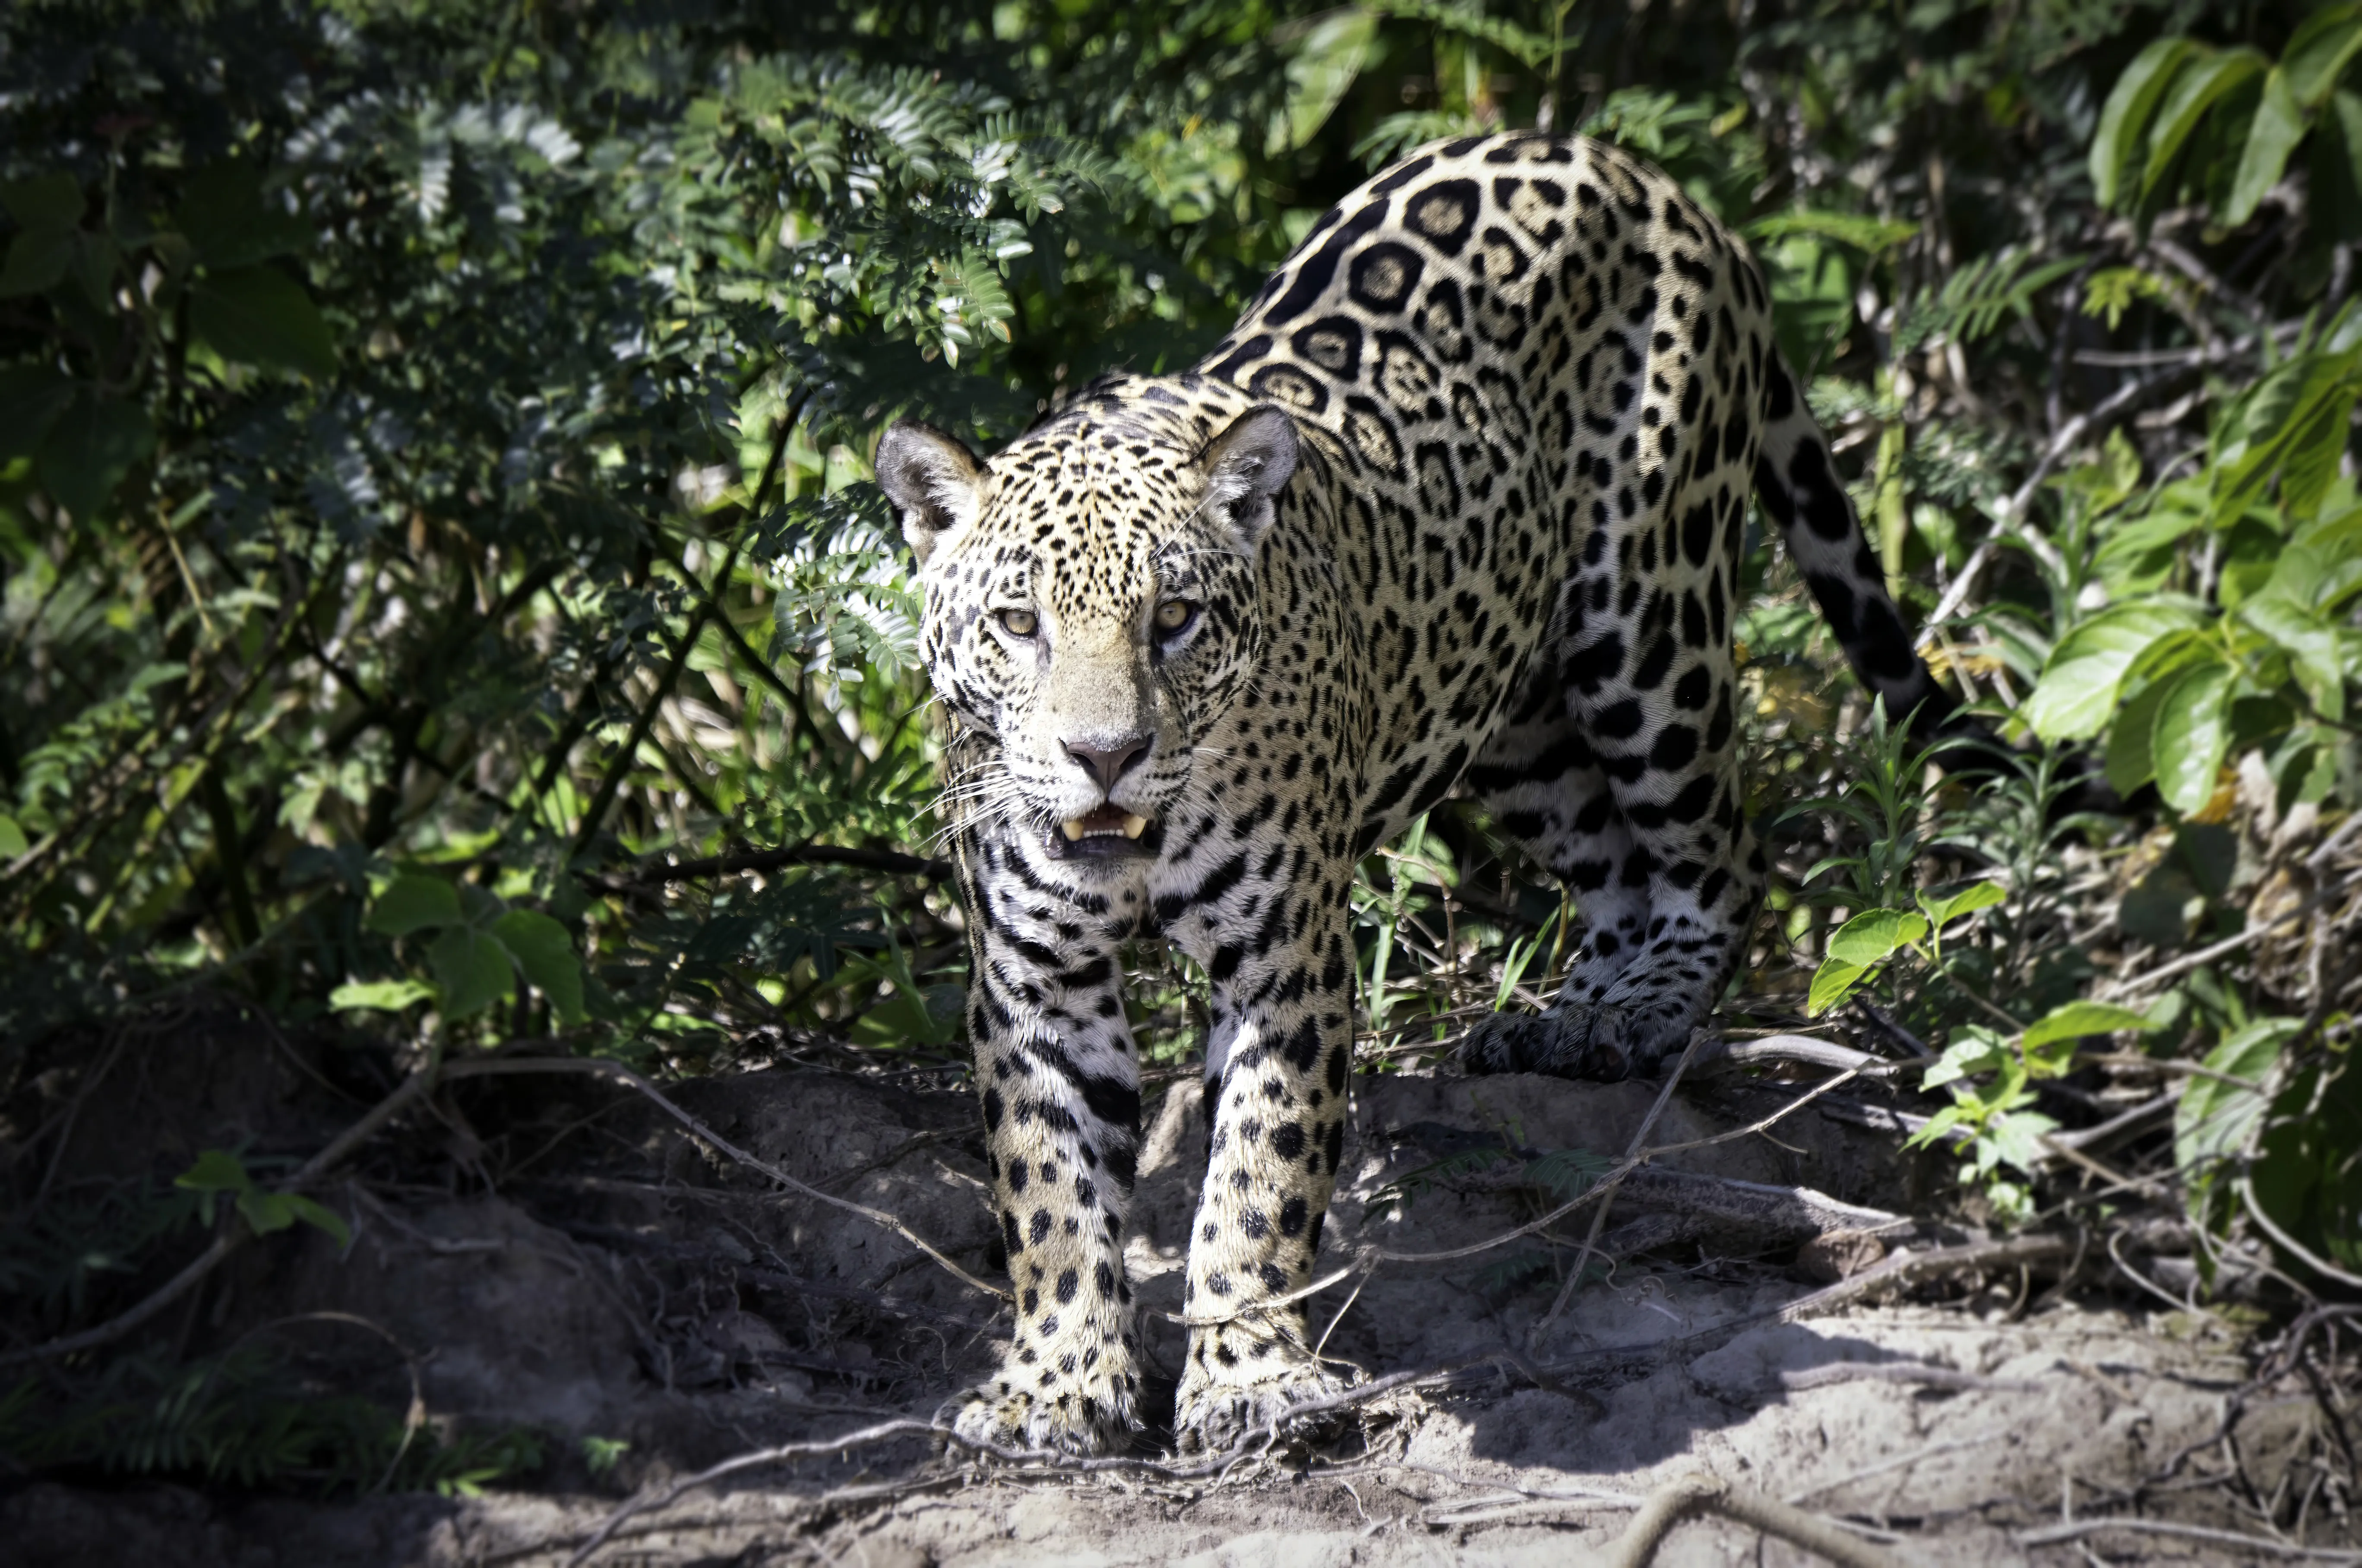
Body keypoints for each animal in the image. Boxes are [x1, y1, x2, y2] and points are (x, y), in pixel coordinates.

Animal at [874, 130, 1961, 1458]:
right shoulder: (1032, 977)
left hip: (1646, 622)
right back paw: (1572, 1015)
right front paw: (1058, 1380)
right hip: (1507, 708)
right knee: (1609, 859)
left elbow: (1256, 1173)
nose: (1104, 754)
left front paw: (1246, 1371)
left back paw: (1639, 1010)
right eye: (1018, 624)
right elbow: (1049, 1191)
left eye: (1173, 618)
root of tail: (1627, 167)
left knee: (1717, 852)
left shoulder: (1286, 961)